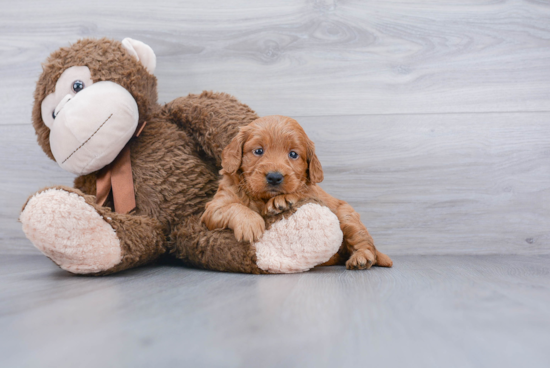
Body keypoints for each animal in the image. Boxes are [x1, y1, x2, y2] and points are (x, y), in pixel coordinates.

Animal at [202, 115, 392, 270]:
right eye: (258, 151)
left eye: (293, 154)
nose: (274, 177)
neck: (262, 198)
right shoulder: (213, 208)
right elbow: (233, 206)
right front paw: (250, 223)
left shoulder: (314, 193)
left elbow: (303, 191)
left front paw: (282, 200)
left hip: (347, 217)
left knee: (365, 244)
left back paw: (361, 258)